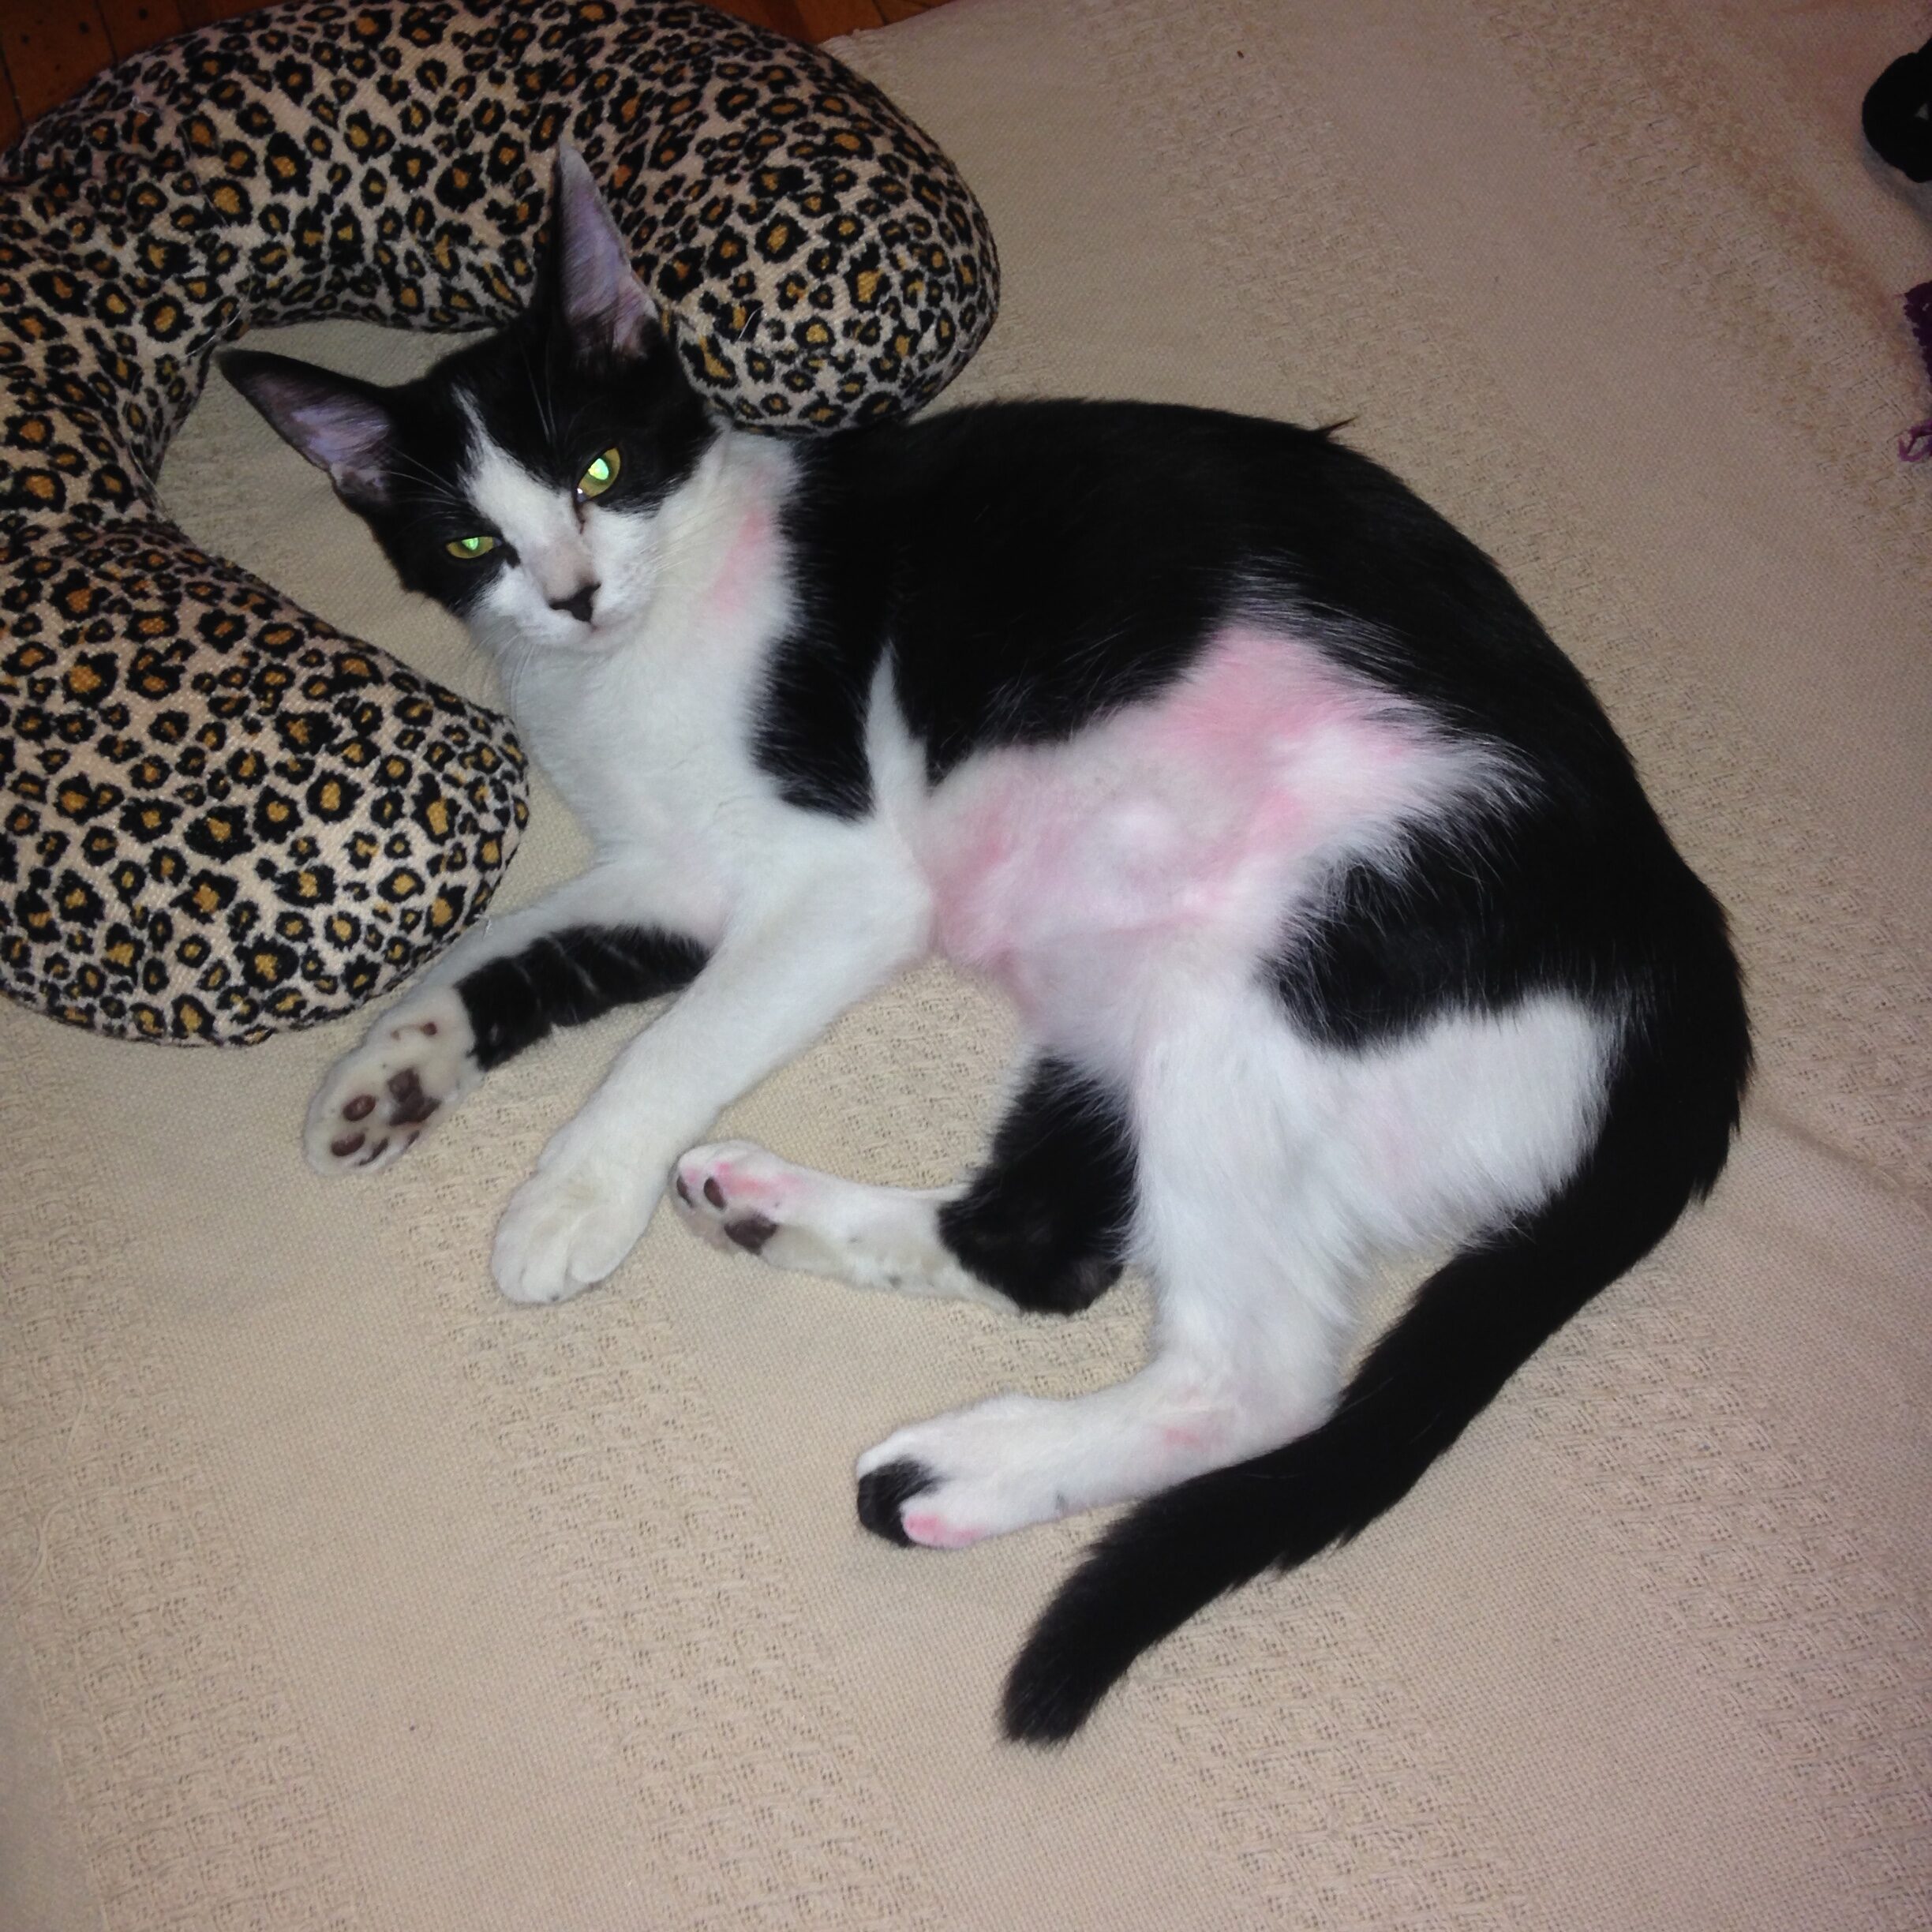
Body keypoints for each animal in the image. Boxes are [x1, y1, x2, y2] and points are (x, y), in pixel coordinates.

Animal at [222, 145, 1751, 1743]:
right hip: (1113, 995)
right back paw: (771, 1215)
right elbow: (505, 954)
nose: (572, 591)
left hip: (1259, 980)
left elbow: (665, 1047)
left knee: (1252, 1376)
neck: (629, 657)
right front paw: (382, 1076)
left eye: (596, 471)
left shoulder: (841, 880)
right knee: (1049, 1245)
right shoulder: (665, 875)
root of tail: (1681, 939)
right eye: (472, 539)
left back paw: (965, 1469)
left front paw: (572, 1198)